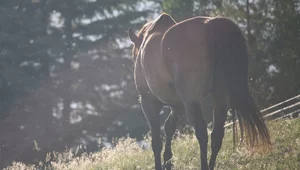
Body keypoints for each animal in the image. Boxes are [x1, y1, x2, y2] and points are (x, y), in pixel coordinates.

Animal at [127, 13, 270, 170]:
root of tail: (210, 24)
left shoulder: (149, 102)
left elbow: (157, 141)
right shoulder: (178, 106)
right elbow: (169, 126)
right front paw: (168, 161)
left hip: (191, 101)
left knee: (202, 132)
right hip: (219, 97)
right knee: (216, 134)